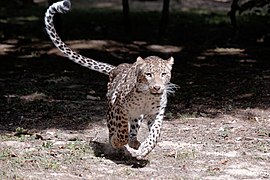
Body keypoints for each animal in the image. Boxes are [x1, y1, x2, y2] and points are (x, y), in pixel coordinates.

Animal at [44, 0, 175, 159]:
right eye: (148, 74)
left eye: (163, 74)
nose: (157, 87)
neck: (147, 97)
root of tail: (116, 68)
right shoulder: (118, 107)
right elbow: (122, 128)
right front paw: (117, 141)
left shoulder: (156, 114)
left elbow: (155, 133)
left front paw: (145, 149)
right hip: (111, 109)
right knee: (114, 128)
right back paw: (117, 144)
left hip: (137, 116)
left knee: (133, 129)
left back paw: (134, 143)